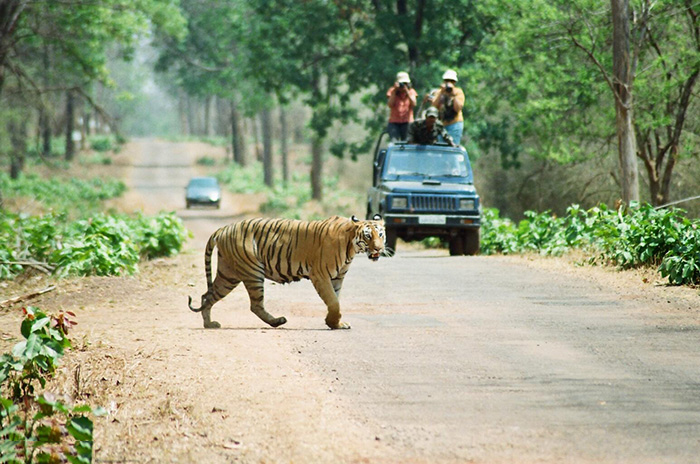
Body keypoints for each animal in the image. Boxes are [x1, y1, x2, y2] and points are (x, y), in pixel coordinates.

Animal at [186, 214, 386, 330]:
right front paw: (333, 323)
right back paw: (277, 321)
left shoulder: (337, 277)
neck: (351, 246)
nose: (379, 248)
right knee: (255, 305)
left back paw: (209, 324)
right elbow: (333, 302)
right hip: (252, 272)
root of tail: (224, 228)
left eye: (381, 234)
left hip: (229, 275)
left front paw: (335, 323)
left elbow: (335, 300)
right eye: (368, 236)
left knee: (207, 295)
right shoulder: (320, 275)